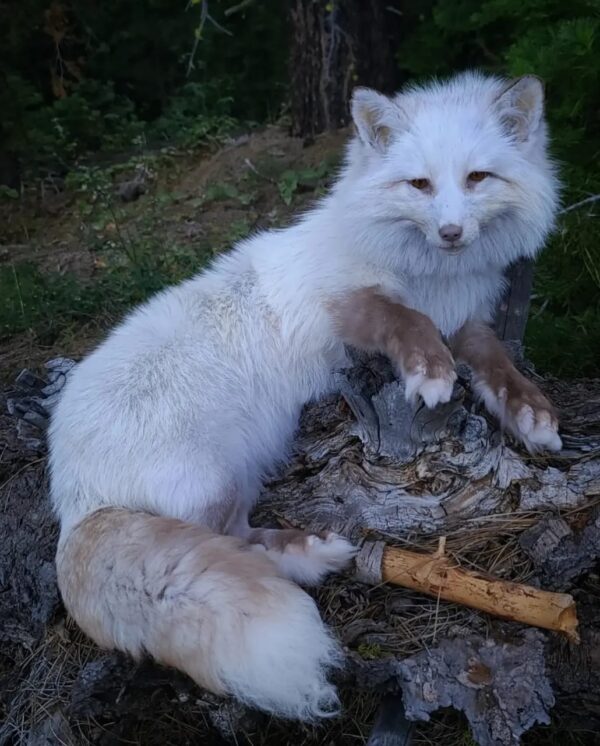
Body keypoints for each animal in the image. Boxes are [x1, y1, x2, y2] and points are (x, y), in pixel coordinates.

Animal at [49, 71, 562, 721]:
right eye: (419, 184)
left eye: (477, 178)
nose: (451, 233)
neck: (434, 278)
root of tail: (72, 499)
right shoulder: (339, 305)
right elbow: (402, 318)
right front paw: (429, 373)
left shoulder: (468, 323)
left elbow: (498, 367)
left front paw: (531, 414)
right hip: (218, 479)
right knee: (234, 540)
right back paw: (309, 555)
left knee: (240, 539)